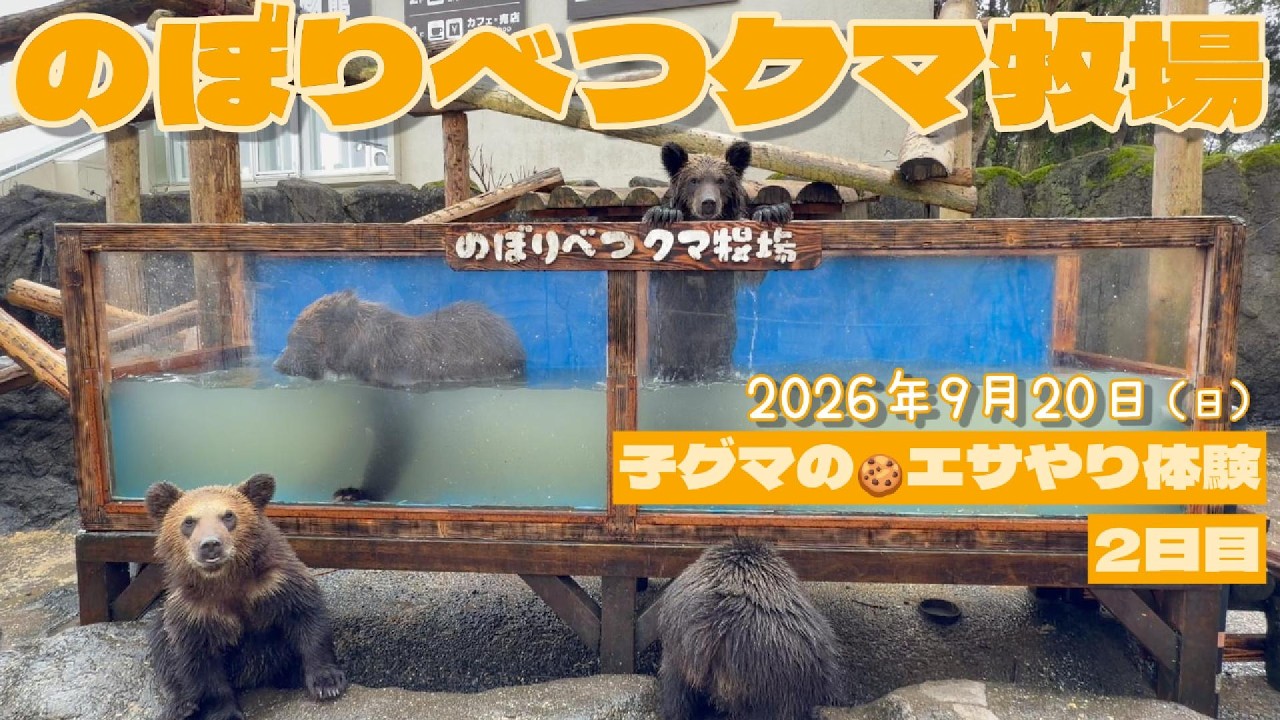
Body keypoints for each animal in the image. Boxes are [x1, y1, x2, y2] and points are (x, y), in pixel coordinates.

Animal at [145, 474, 348, 720]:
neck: (226, 582)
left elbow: (307, 618)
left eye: (228, 515)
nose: (210, 545)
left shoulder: (277, 583)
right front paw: (225, 712)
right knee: (162, 648)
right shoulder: (194, 613)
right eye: (189, 521)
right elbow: (200, 663)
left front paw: (327, 682)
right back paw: (182, 706)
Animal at [642, 140, 793, 384]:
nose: (708, 203)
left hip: (720, 347)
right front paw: (663, 213)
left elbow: (752, 270)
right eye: (694, 180)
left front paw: (773, 211)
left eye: (720, 180)